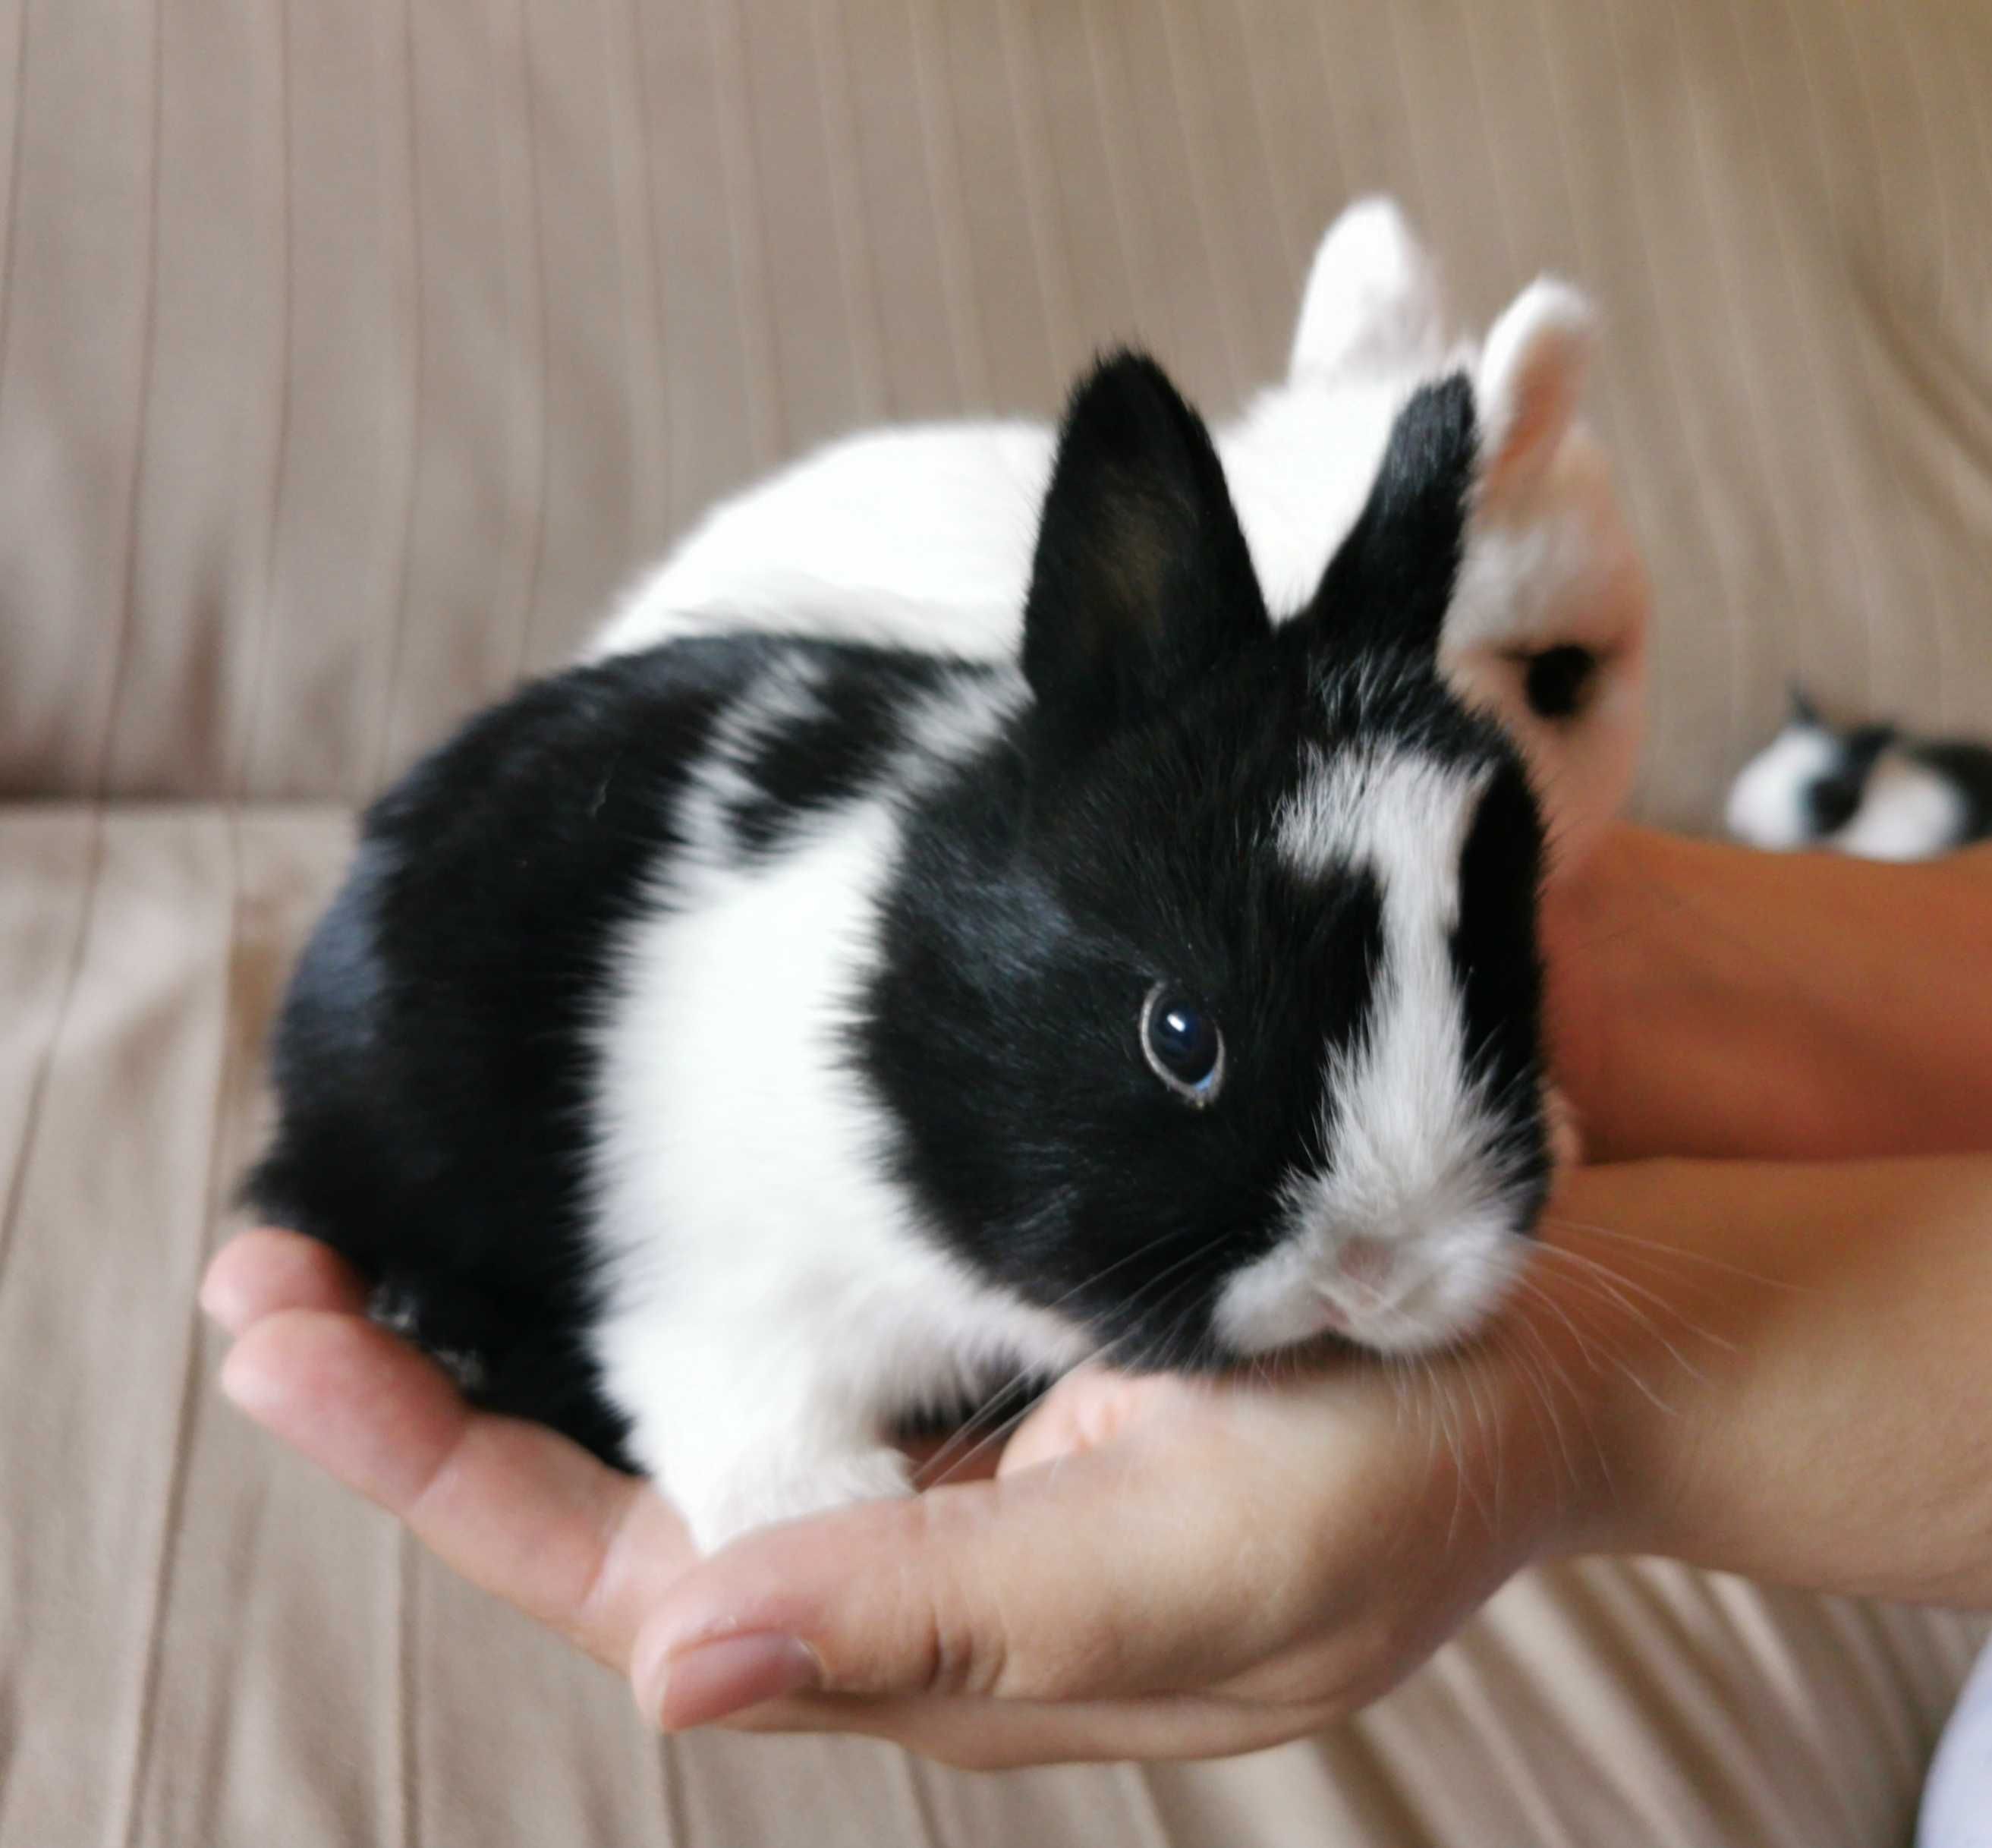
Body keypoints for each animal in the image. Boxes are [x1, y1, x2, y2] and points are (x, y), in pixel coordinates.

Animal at [249, 346, 1553, 1545]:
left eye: (1501, 989)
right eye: (1180, 1034)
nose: (1376, 1269)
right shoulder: (730, 1286)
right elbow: (744, 1397)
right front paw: (818, 1502)